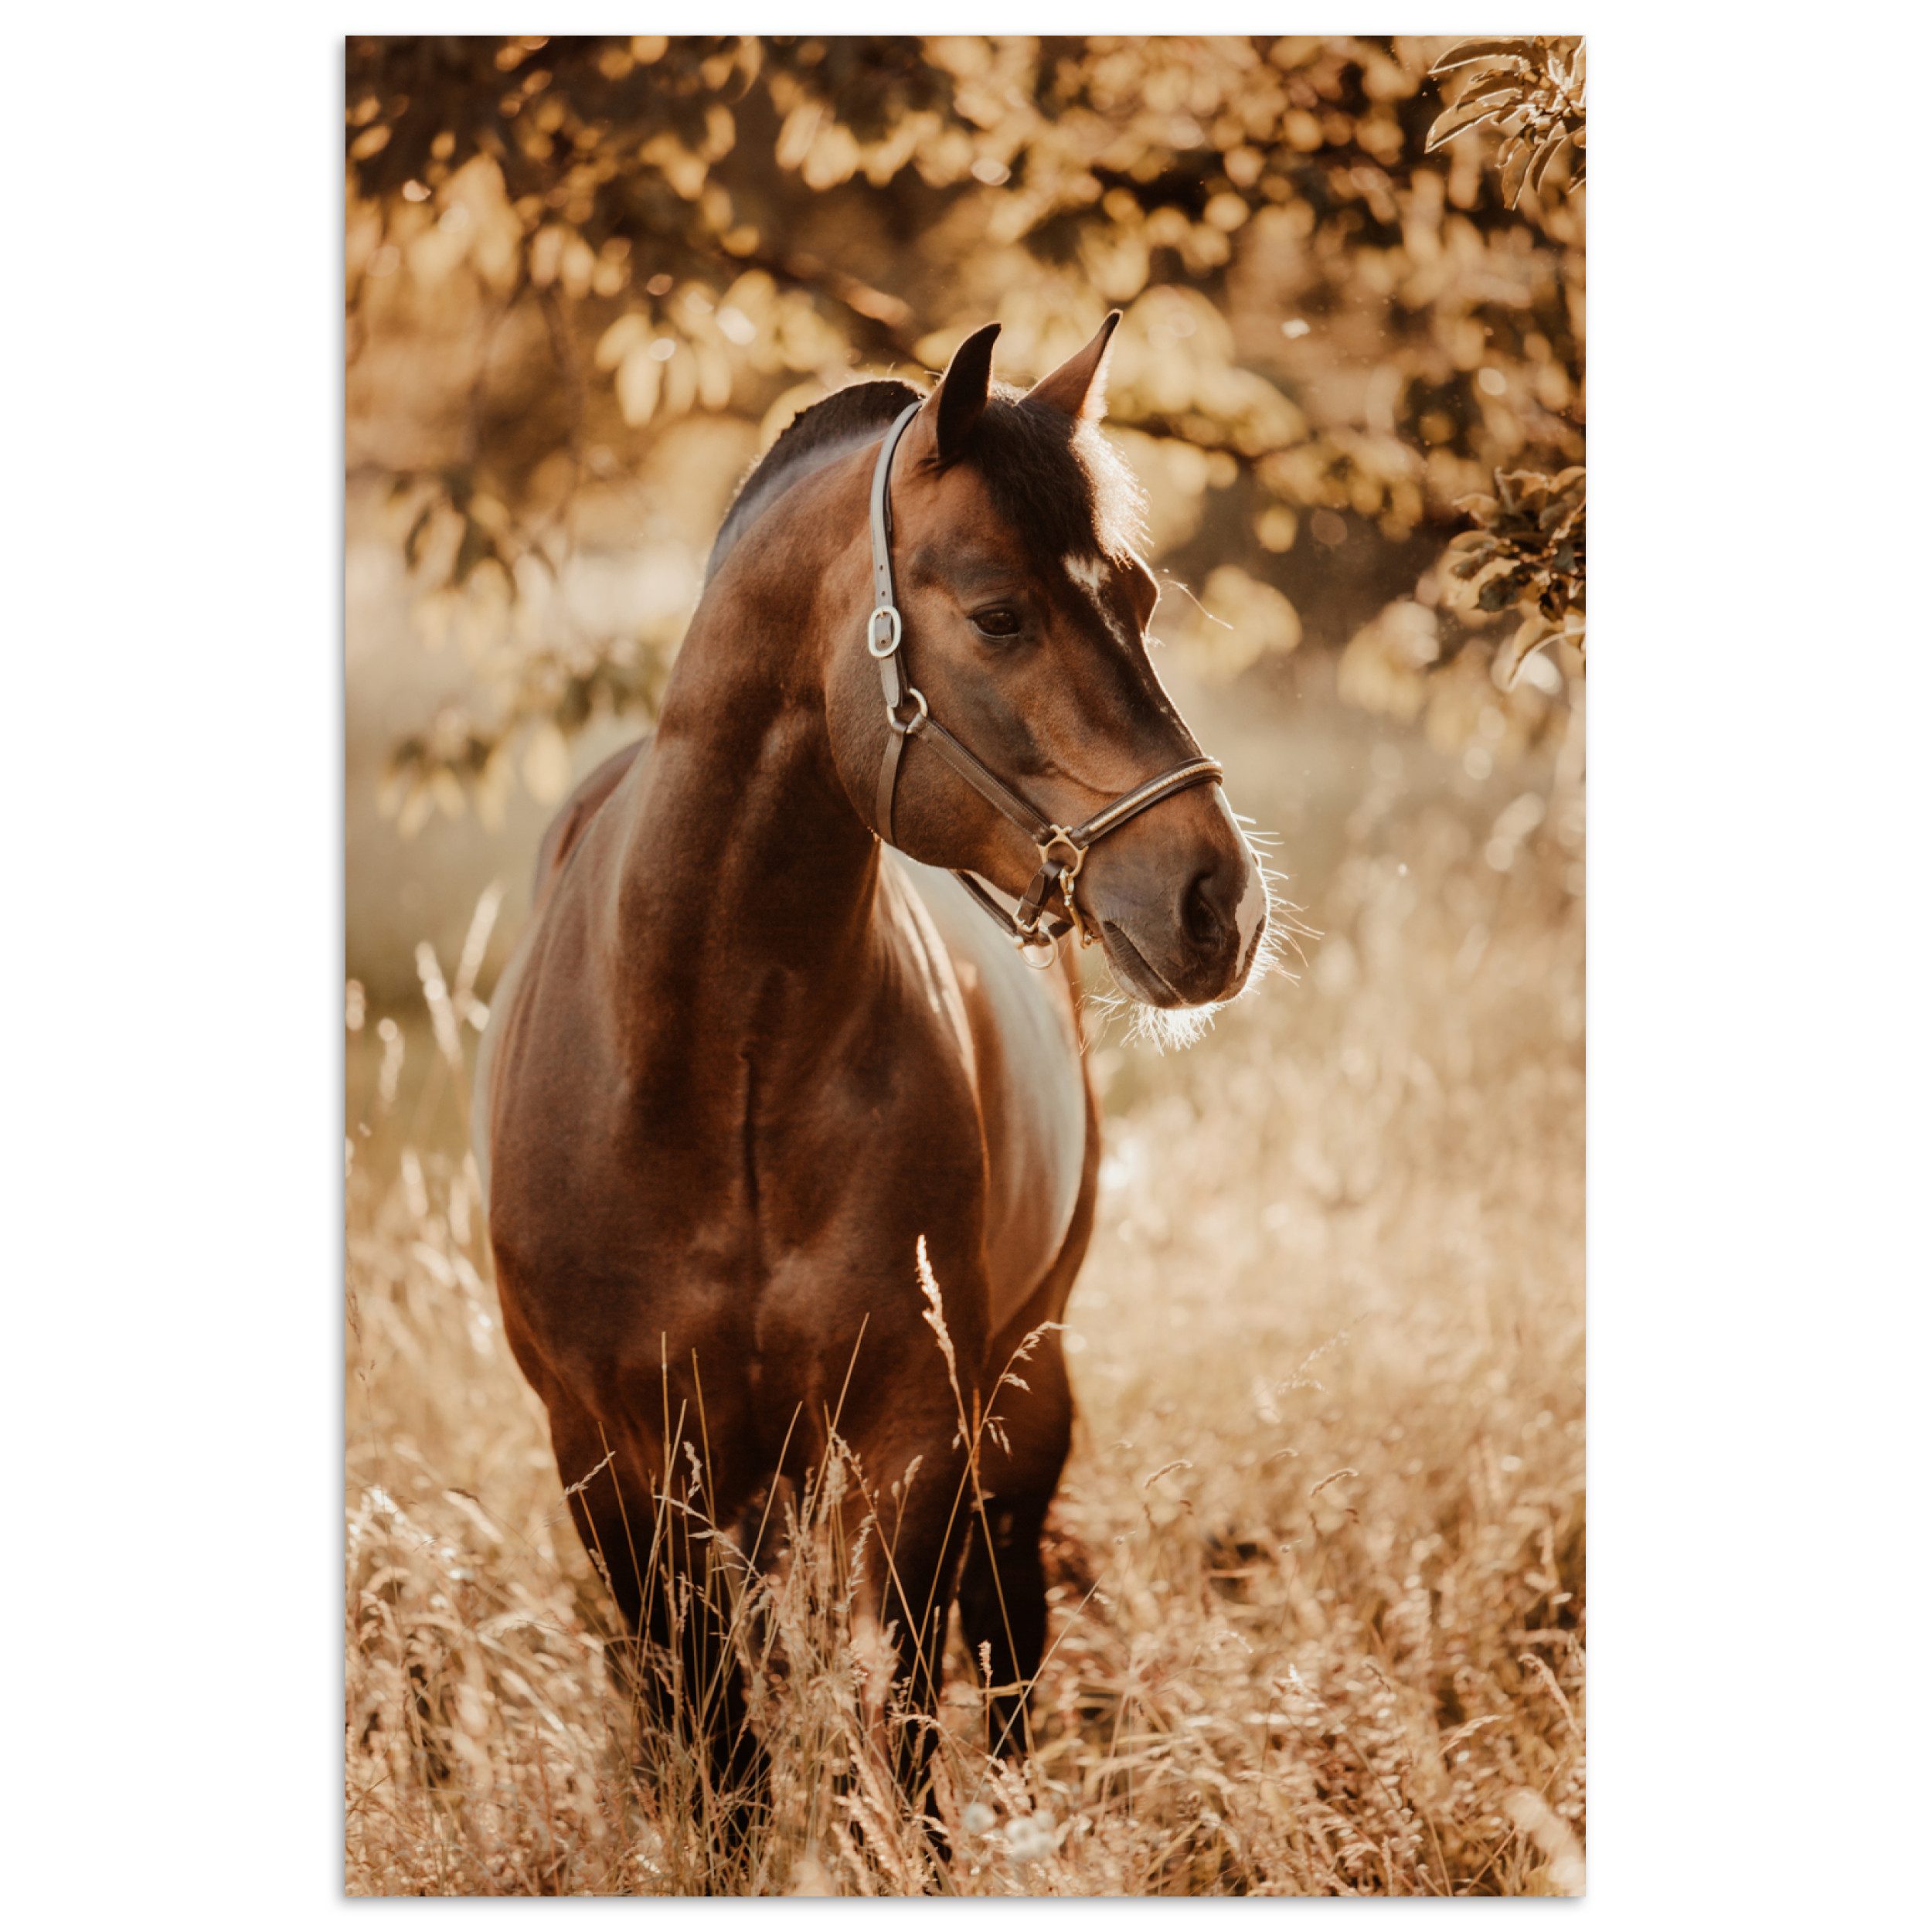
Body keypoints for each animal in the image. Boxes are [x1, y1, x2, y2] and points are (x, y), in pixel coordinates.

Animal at [473, 313, 1270, 1838]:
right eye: (1001, 614)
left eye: (1138, 596)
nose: (1220, 903)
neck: (712, 1062)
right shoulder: (611, 1458)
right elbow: (719, 1760)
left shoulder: (911, 1439)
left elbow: (899, 1739)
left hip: (1022, 1388)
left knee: (1006, 1644)